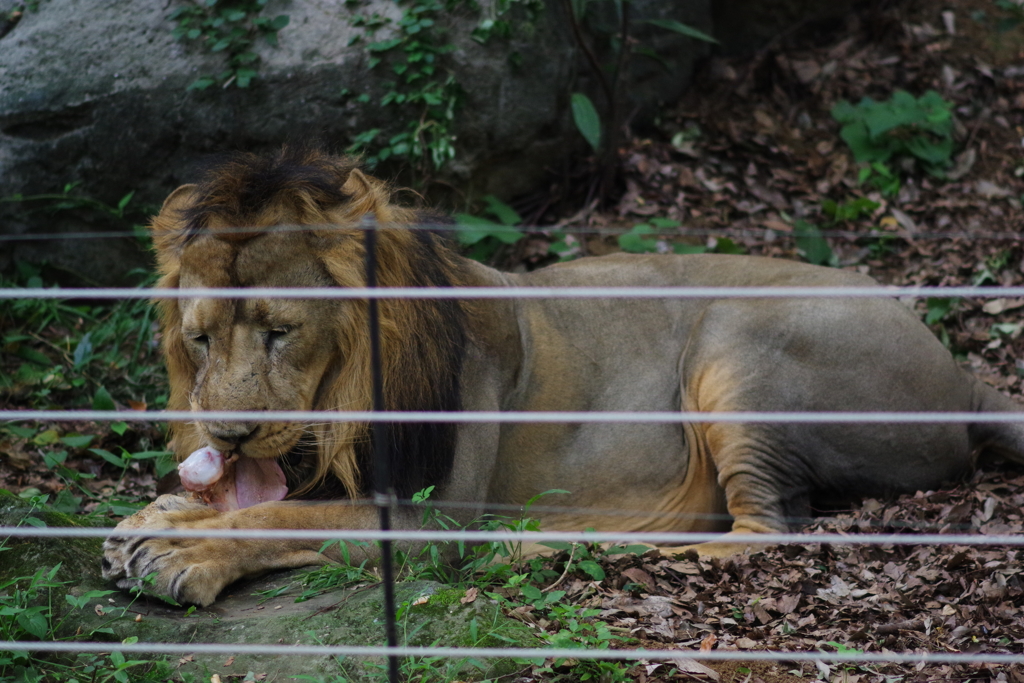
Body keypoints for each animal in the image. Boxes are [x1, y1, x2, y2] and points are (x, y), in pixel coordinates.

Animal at [101, 147, 1024, 606]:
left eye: (280, 332)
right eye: (199, 339)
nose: (227, 433)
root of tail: (963, 377)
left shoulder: (436, 513)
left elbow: (286, 516)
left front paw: (179, 548)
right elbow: (278, 500)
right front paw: (160, 512)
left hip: (737, 334)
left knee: (764, 532)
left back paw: (553, 544)